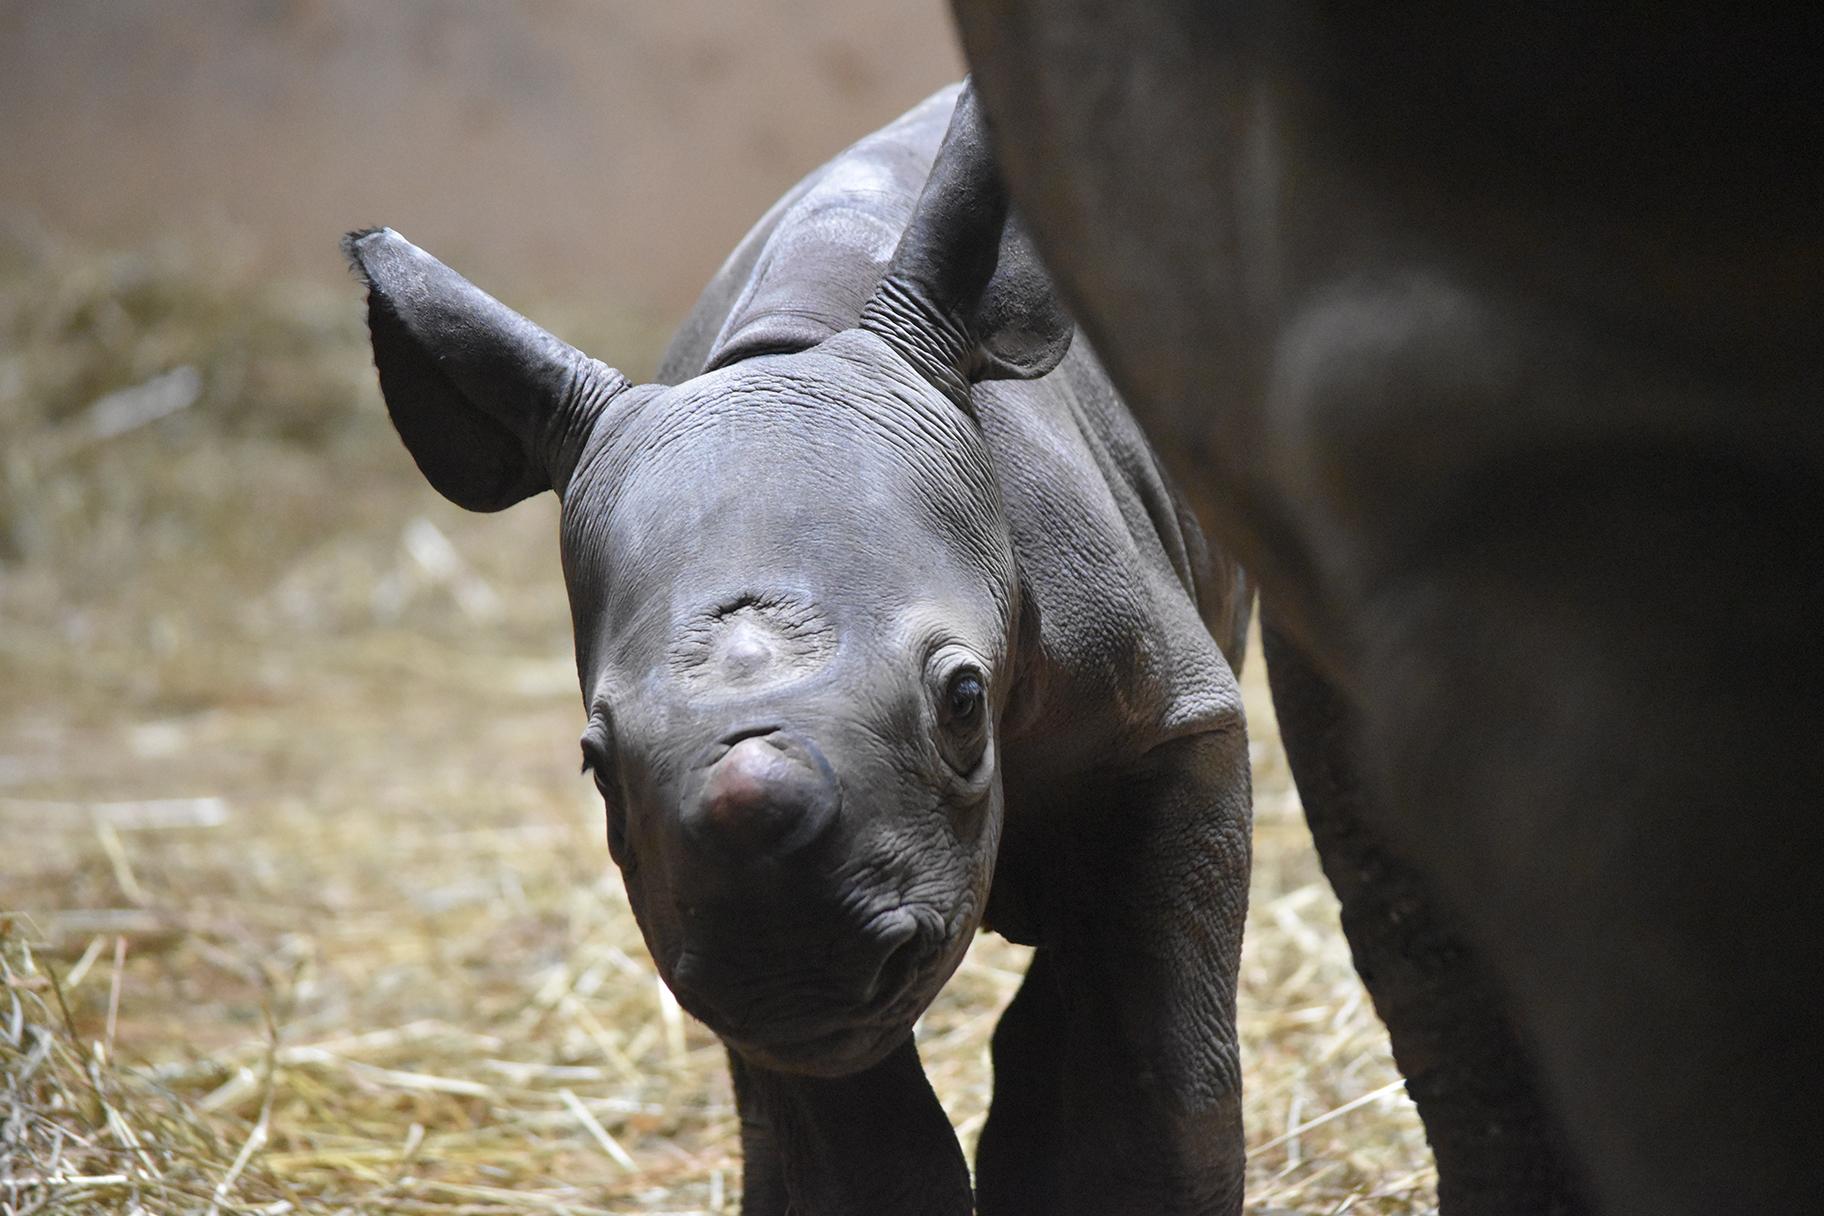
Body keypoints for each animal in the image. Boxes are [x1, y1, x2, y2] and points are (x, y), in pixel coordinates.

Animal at [342, 85, 1254, 1216]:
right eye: (596, 767)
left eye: (963, 701)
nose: (790, 959)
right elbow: (856, 1140)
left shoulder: (1167, 722)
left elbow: (1145, 1060)